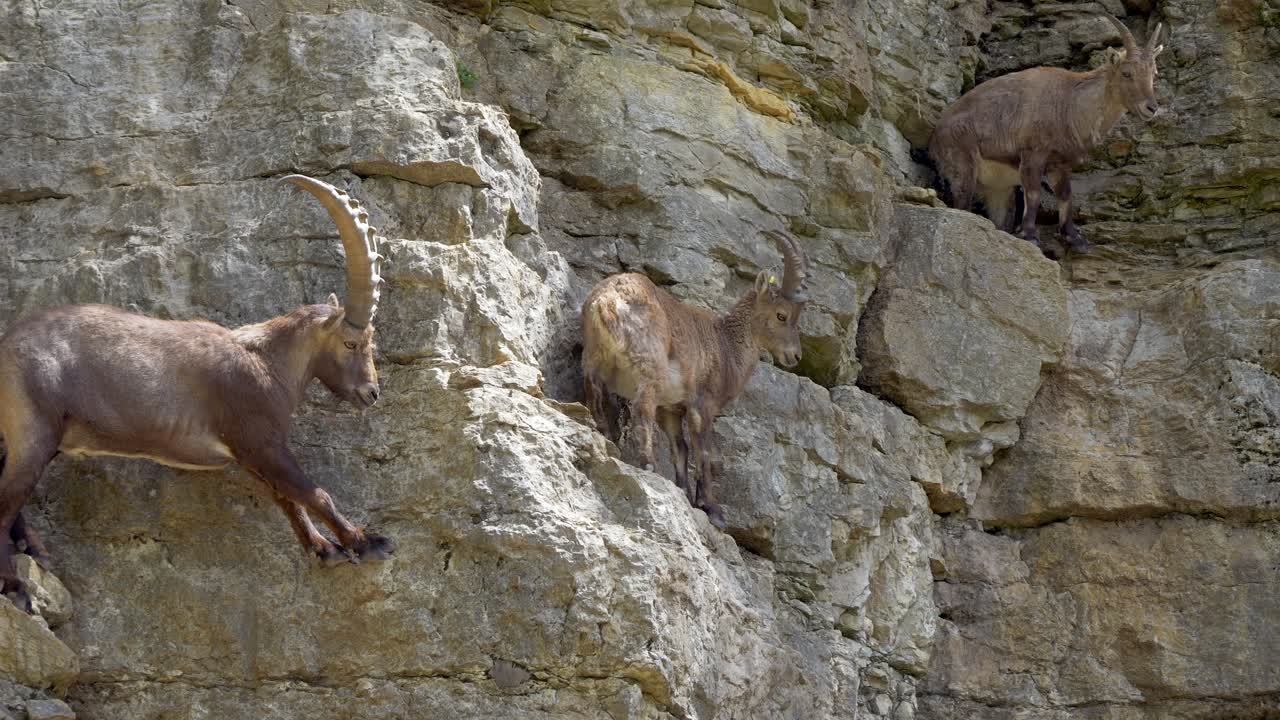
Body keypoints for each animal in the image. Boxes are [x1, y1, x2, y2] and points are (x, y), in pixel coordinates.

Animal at [0, 175, 393, 613]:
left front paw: (323, 549)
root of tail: (4, 345)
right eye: (351, 343)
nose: (372, 393)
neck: (268, 361)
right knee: (3, 504)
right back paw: (16, 588)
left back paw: (35, 551)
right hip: (35, 433)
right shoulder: (260, 442)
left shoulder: (250, 454)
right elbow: (313, 493)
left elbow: (287, 498)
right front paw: (366, 542)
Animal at [581, 232, 810, 529]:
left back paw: (605, 435)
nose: (795, 355)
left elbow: (681, 449)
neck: (726, 344)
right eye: (782, 315)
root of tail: (606, 301)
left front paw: (685, 493)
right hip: (649, 366)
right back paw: (647, 464)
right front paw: (712, 508)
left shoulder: (671, 409)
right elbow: (704, 452)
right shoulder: (703, 404)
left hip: (594, 355)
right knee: (642, 409)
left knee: (593, 388)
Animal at [930, 16, 1164, 258]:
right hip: (963, 166)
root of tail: (936, 135)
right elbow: (1033, 194)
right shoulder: (1033, 154)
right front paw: (1030, 235)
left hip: (998, 188)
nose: (1151, 108)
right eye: (1127, 73)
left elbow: (1066, 196)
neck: (1069, 102)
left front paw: (1075, 239)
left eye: (1153, 74)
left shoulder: (1060, 163)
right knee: (961, 202)